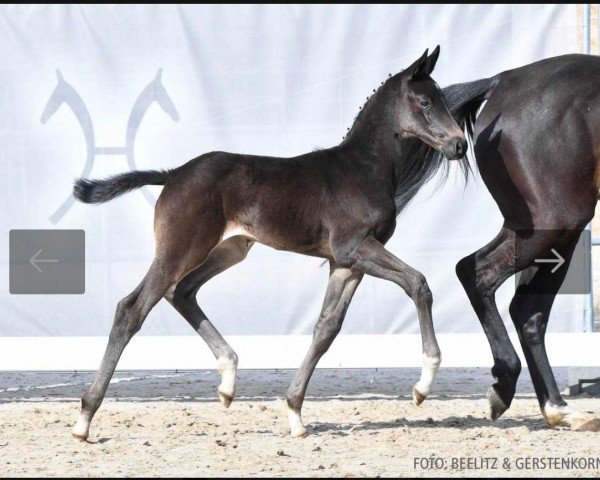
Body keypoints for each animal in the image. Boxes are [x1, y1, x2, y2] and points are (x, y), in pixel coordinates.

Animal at [72, 47, 466, 440]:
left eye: (444, 100)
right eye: (425, 101)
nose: (459, 144)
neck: (362, 169)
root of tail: (173, 175)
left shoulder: (346, 263)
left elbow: (327, 328)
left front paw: (295, 413)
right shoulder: (354, 248)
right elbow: (418, 283)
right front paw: (423, 385)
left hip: (229, 249)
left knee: (180, 292)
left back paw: (228, 381)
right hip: (181, 249)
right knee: (132, 308)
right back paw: (84, 418)